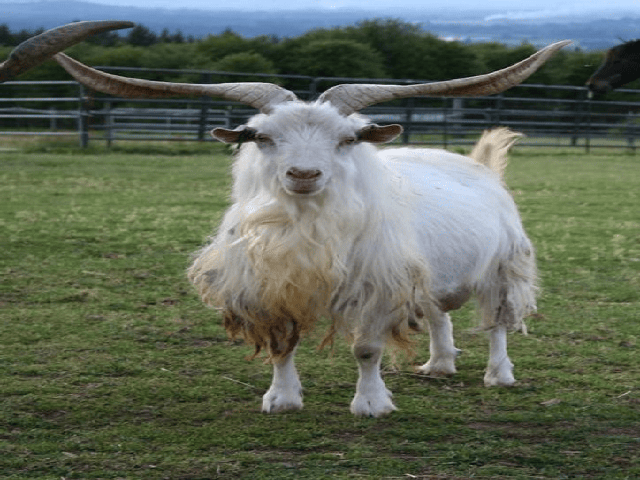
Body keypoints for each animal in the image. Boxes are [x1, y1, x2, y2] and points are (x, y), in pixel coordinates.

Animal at [0, 21, 570, 416]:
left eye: (348, 138)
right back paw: (439, 364)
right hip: (426, 271)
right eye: (260, 136)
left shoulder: (375, 285)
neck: (305, 227)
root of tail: (480, 164)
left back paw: (498, 375)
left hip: (503, 267)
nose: (303, 172)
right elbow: (280, 346)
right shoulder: (267, 286)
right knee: (438, 313)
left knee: (498, 323)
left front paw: (371, 405)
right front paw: (281, 400)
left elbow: (367, 348)